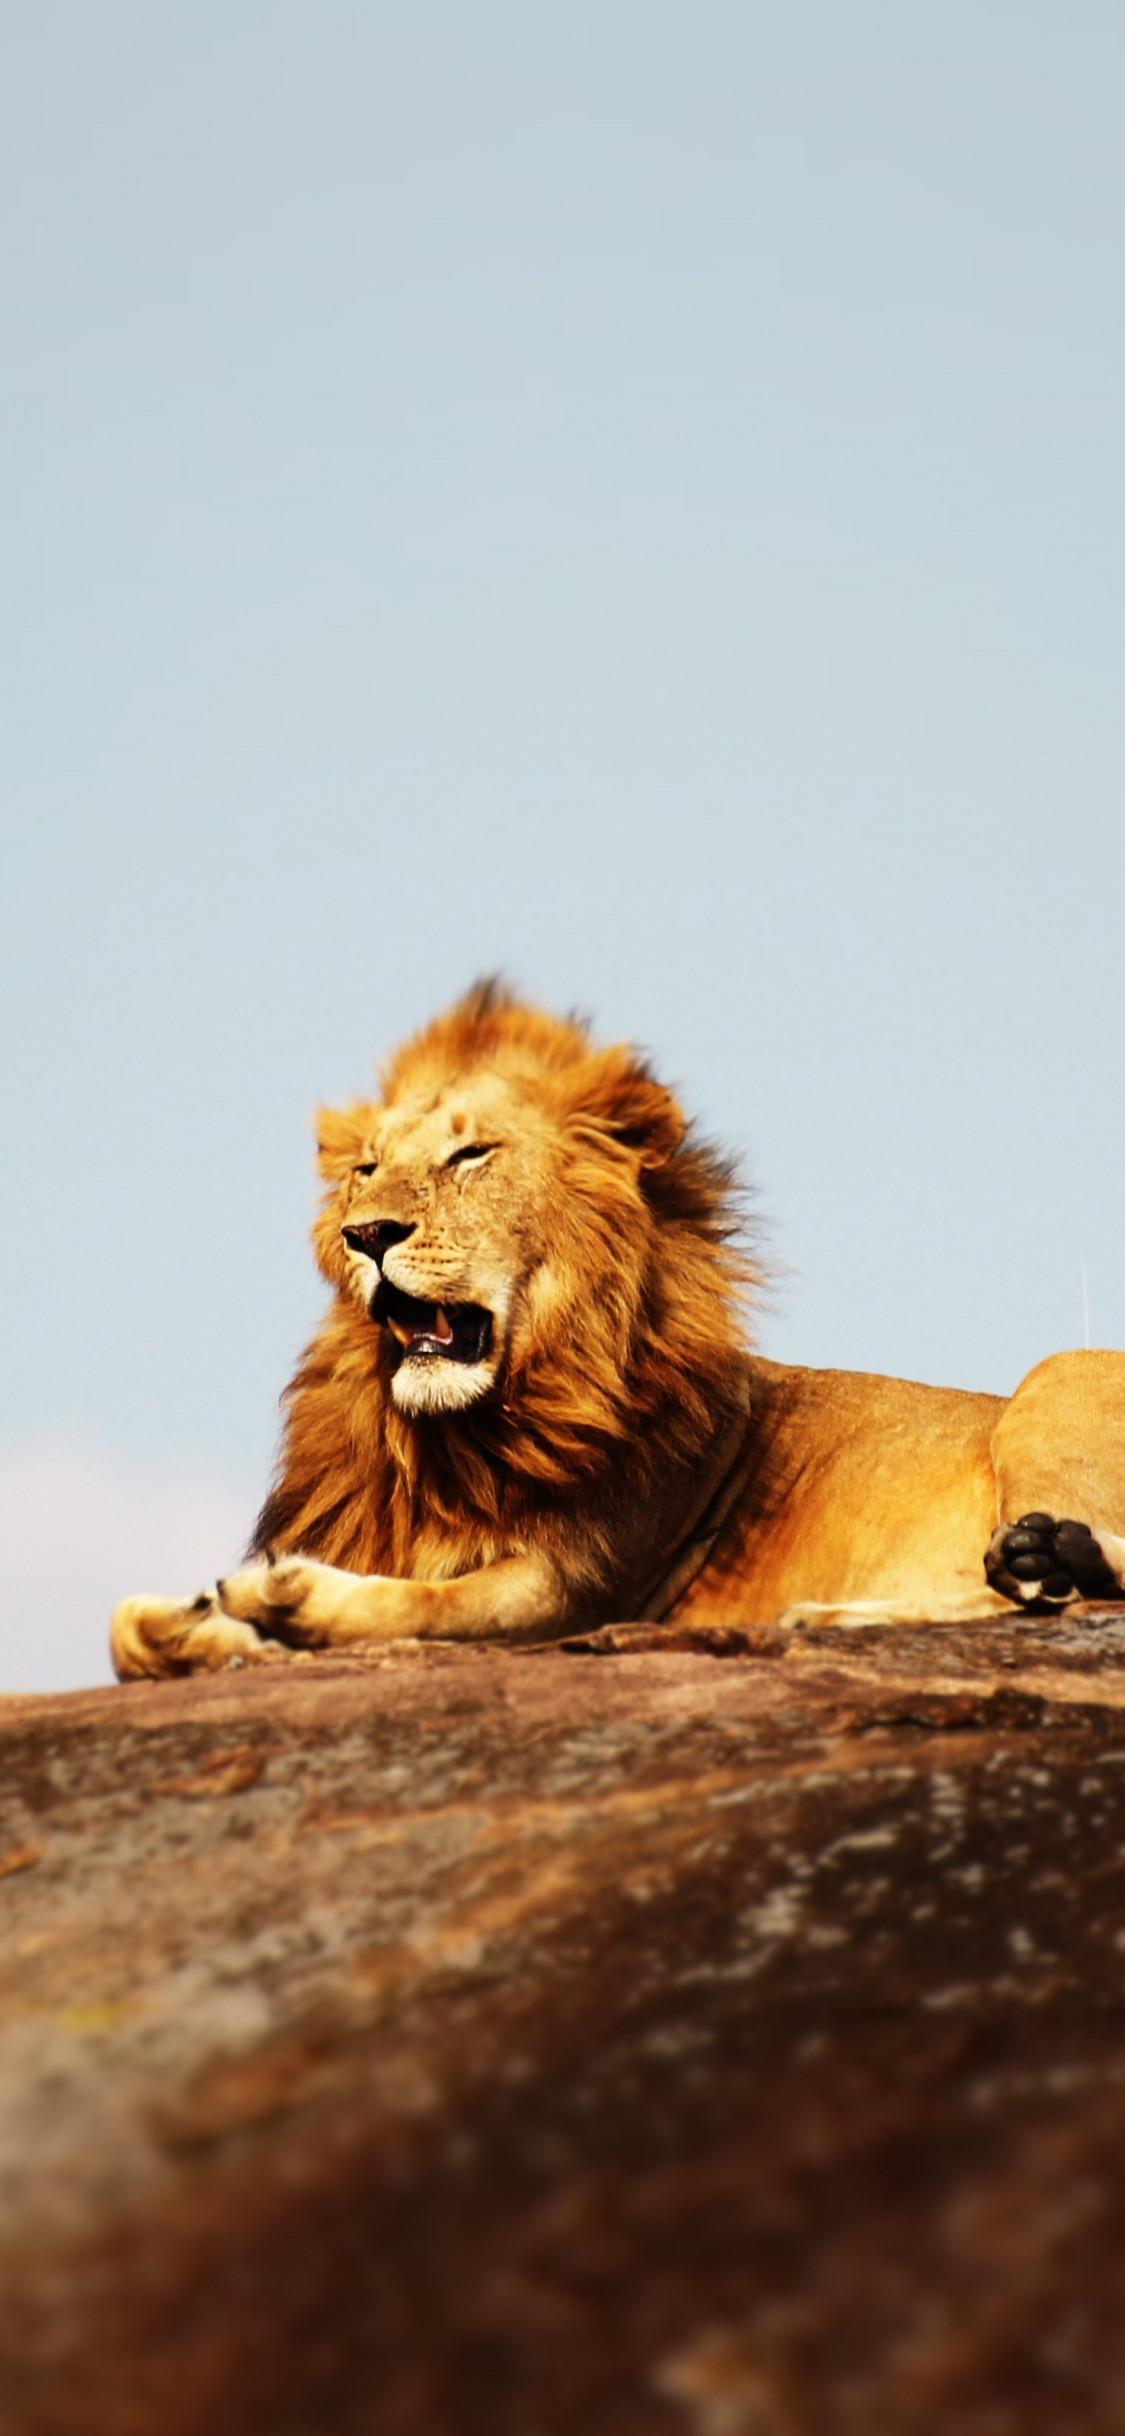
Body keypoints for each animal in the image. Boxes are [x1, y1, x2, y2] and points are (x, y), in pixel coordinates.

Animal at [111, 982, 1125, 1680]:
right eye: (366, 1168)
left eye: (469, 1155)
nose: (368, 1235)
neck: (449, 1440)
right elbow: (122, 1628)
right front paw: (199, 1626)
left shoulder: (571, 1590)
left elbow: (424, 1606)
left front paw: (284, 1599)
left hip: (1058, 1377)